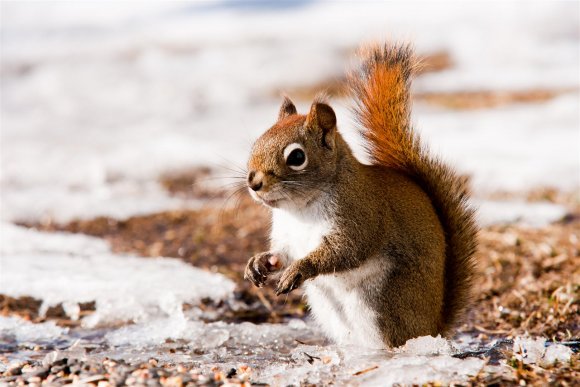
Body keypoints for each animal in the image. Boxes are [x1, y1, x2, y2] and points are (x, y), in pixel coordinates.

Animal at [244, 43, 476, 348]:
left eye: (296, 157)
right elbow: (281, 253)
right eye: (256, 142)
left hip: (386, 300)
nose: (254, 182)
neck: (300, 208)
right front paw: (259, 263)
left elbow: (347, 249)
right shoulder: (287, 235)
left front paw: (300, 268)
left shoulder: (358, 214)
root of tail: (433, 328)